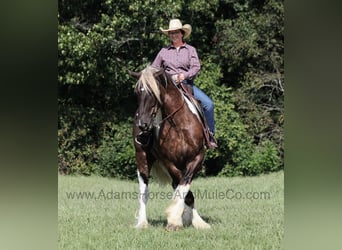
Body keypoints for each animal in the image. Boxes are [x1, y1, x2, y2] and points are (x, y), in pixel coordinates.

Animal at [130, 65, 210, 230]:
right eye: (137, 93)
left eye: (153, 92)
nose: (142, 124)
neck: (178, 124)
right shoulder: (169, 162)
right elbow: (184, 189)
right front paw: (175, 220)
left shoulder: (196, 158)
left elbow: (184, 186)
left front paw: (193, 220)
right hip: (142, 157)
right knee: (144, 190)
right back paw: (142, 222)